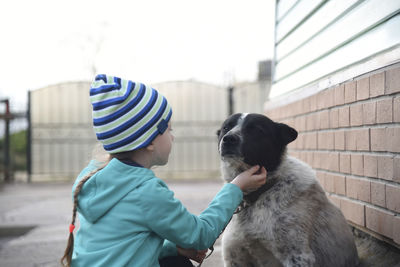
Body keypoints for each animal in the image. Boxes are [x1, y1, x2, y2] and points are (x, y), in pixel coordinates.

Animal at [217, 113, 360, 267]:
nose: (229, 139)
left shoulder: (298, 256)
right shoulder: (235, 257)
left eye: (257, 129)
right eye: (226, 127)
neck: (257, 196)